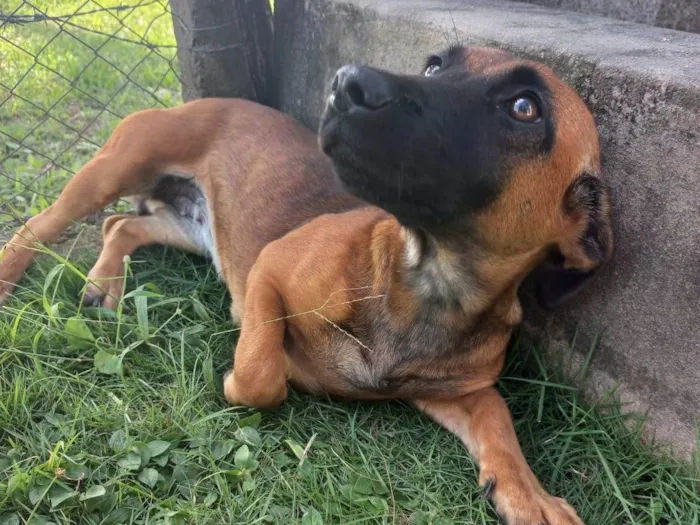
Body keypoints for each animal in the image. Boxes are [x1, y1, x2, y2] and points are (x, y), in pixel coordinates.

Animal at [0, 46, 608, 524]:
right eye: (434, 65)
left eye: (524, 108)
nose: (348, 82)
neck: (431, 283)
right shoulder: (270, 270)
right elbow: (260, 376)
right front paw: (254, 370)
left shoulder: (460, 392)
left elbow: (499, 424)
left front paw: (528, 493)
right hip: (113, 169)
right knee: (41, 225)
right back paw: (14, 276)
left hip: (194, 229)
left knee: (120, 226)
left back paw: (104, 283)